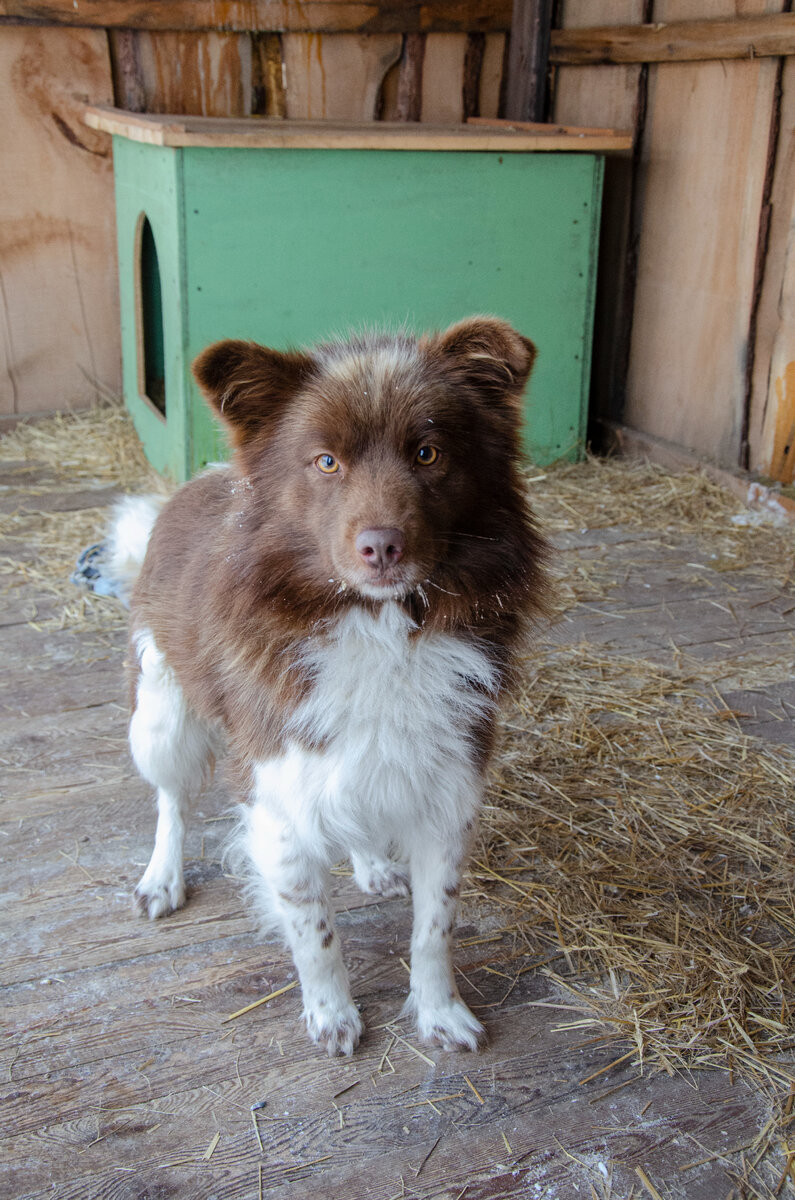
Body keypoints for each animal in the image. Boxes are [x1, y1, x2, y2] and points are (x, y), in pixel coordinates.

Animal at [113, 314, 547, 1056]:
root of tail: (195, 485)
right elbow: (314, 931)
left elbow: (435, 928)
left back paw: (371, 863)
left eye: (427, 453)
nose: (382, 547)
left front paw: (440, 1013)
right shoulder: (278, 797)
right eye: (325, 463)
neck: (377, 626)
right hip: (162, 714)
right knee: (171, 801)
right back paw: (161, 878)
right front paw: (332, 1014)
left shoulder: (447, 792)